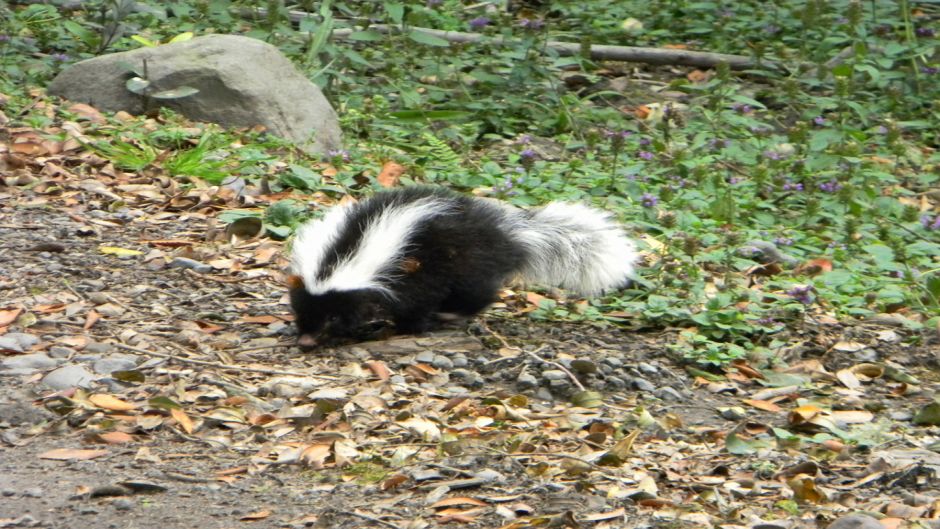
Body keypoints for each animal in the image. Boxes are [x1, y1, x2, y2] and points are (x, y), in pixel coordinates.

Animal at [288, 187, 640, 346]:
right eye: (301, 313)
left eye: (334, 316)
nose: (306, 341)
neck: (343, 257)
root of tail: (505, 236)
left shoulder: (409, 274)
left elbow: (411, 305)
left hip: (465, 262)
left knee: (477, 292)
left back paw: (452, 314)